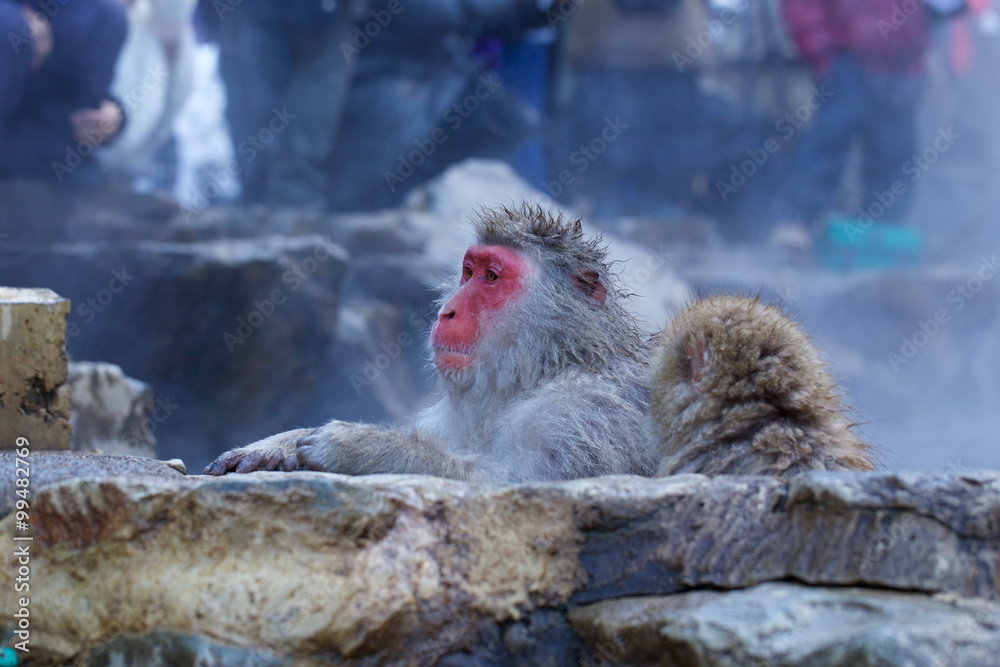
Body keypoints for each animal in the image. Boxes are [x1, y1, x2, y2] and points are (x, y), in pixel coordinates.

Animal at [205, 204, 654, 483]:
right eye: (468, 271)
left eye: (492, 277)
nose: (446, 312)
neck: (541, 369)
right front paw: (277, 445)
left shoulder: (584, 413)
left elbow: (519, 487)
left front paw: (367, 448)